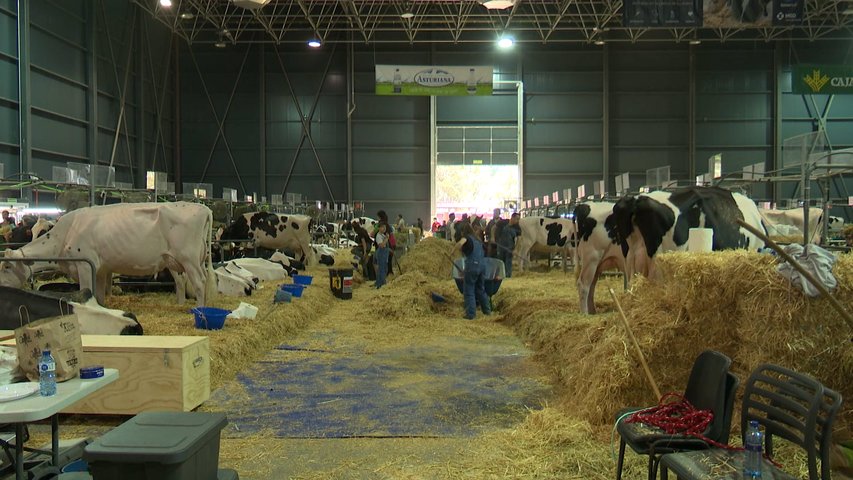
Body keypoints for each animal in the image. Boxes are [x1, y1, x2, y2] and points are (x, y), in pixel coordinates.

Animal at [0, 202, 216, 308]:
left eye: (7, 266)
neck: (66, 233)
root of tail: (203, 208)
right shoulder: (101, 269)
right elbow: (99, 294)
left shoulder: (84, 264)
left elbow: (87, 290)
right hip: (183, 260)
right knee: (191, 281)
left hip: (189, 259)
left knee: (199, 282)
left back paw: (199, 311)